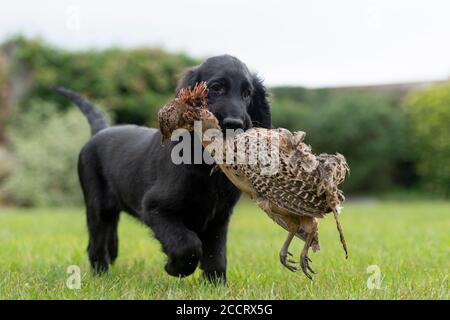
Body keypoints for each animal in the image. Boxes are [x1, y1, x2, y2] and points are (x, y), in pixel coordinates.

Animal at [56, 55, 270, 282]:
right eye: (216, 87)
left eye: (247, 93)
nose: (235, 124)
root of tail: (100, 131)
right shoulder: (155, 208)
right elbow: (187, 244)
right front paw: (176, 268)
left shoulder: (219, 215)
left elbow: (216, 253)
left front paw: (215, 284)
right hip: (97, 206)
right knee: (96, 243)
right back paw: (101, 275)